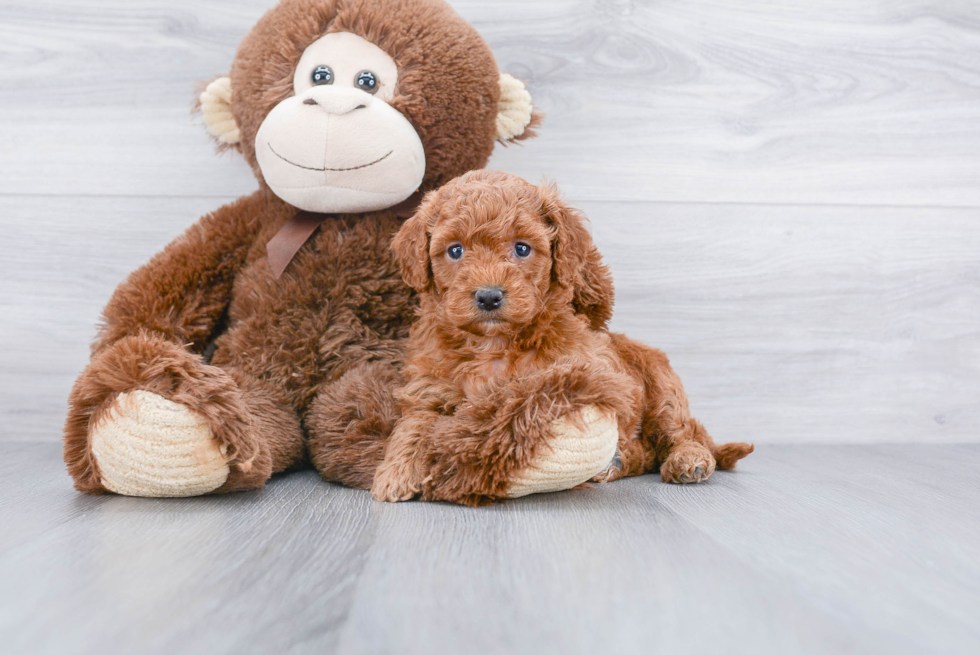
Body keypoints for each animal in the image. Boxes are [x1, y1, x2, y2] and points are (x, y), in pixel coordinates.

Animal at [372, 170, 756, 508]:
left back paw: (686, 459)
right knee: (648, 451)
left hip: (662, 387)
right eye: (455, 251)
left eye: (522, 249)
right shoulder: (429, 387)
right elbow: (414, 424)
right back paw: (619, 462)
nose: (489, 296)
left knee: (680, 431)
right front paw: (395, 473)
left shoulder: (576, 370)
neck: (493, 344)